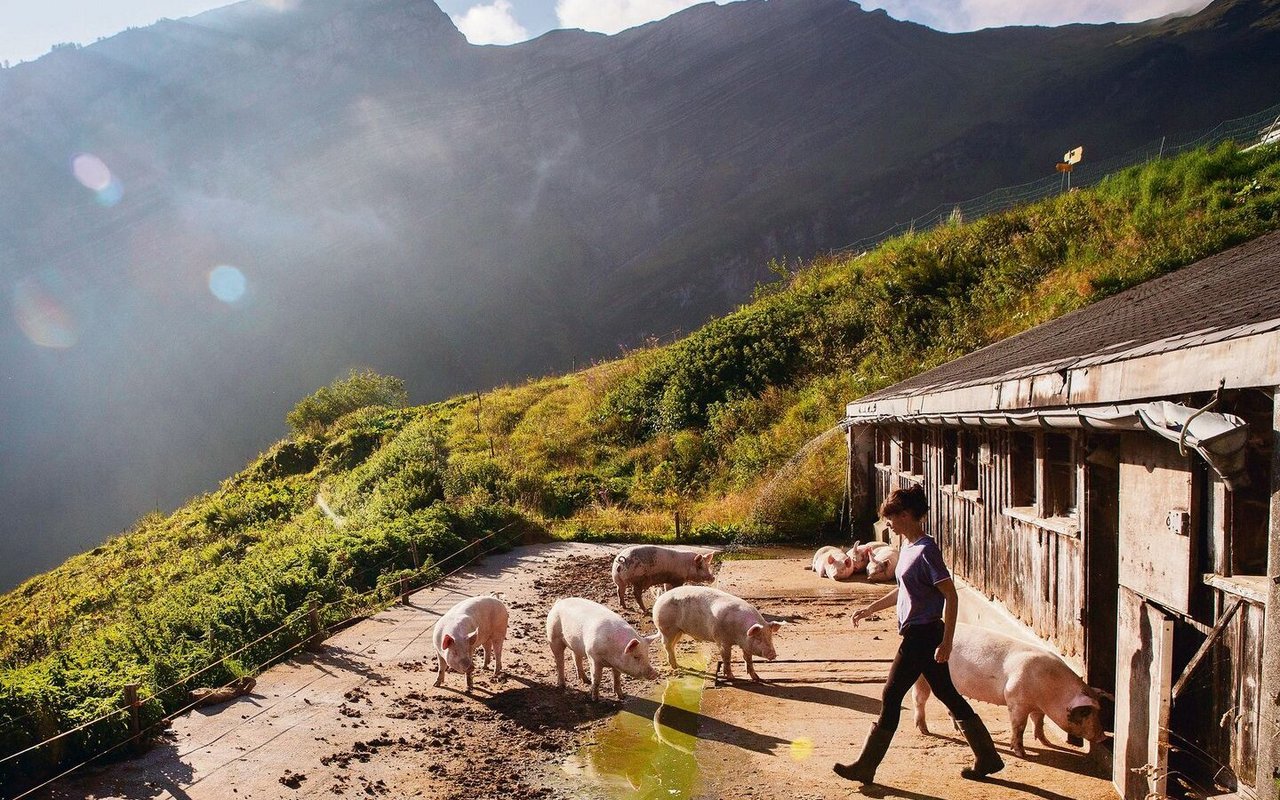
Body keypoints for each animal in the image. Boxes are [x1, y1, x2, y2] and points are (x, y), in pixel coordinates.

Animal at [650, 581, 778, 680]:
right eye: (758, 638)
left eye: (770, 637)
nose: (773, 654)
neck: (740, 632)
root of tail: (660, 597)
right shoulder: (722, 640)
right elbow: (726, 658)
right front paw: (732, 678)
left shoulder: (746, 645)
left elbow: (748, 659)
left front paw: (757, 678)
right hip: (666, 628)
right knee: (667, 646)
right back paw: (675, 667)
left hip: (679, 631)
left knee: (672, 646)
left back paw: (676, 665)